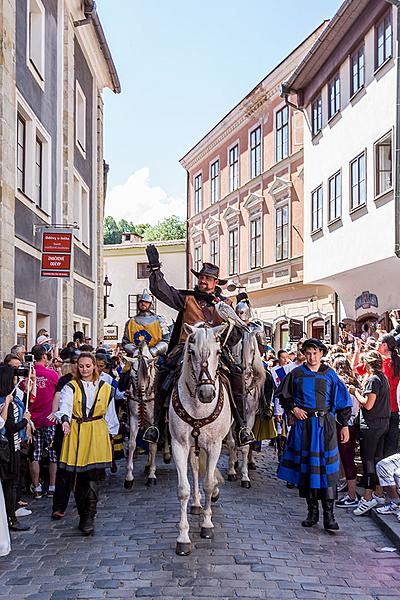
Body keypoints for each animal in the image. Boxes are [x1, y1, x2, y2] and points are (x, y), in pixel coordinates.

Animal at [169, 324, 231, 556]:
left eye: (219, 352)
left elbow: (209, 483)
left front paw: (207, 524)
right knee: (195, 469)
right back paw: (196, 504)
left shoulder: (214, 446)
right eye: (191, 352)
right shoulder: (179, 445)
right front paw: (183, 538)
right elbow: (184, 489)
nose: (206, 393)